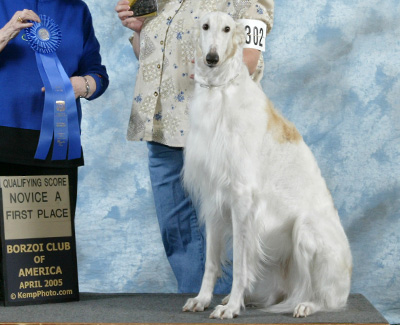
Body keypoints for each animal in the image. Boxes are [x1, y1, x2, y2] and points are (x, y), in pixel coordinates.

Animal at [182, 11, 354, 318]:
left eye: (227, 29)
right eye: (205, 26)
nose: (212, 58)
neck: (220, 90)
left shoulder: (242, 198)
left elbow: (239, 265)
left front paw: (230, 308)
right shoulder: (214, 200)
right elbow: (210, 262)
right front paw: (202, 299)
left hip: (306, 229)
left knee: (322, 297)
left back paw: (304, 305)